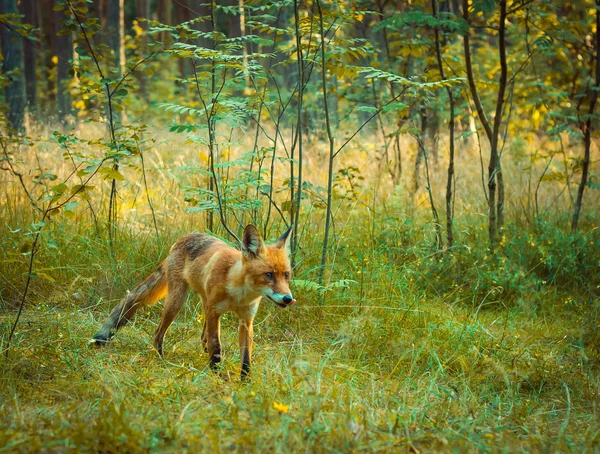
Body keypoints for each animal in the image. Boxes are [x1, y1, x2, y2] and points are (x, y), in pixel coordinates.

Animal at [90, 224, 294, 380]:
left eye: (286, 275)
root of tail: (182, 239)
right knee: (158, 333)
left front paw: (245, 383)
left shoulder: (246, 321)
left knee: (202, 336)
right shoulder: (214, 312)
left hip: (203, 302)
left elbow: (246, 359)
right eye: (268, 275)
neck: (238, 293)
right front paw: (217, 377)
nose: (288, 298)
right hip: (176, 302)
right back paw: (161, 359)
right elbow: (216, 346)